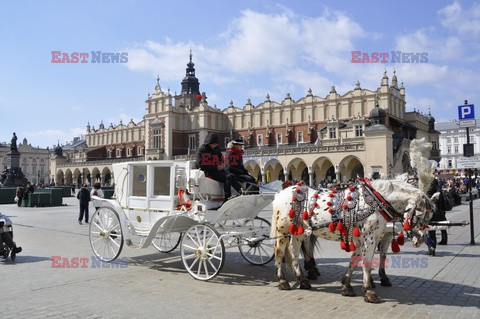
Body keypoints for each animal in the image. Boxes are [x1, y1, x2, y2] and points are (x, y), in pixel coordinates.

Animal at [270, 178, 436, 302]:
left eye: (430, 217)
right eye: (420, 215)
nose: (420, 240)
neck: (376, 202)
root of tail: (280, 193)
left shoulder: (364, 240)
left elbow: (354, 262)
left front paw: (346, 286)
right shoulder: (369, 239)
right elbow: (367, 265)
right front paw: (369, 292)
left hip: (298, 232)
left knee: (294, 252)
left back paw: (302, 280)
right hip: (282, 231)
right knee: (279, 252)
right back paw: (283, 281)